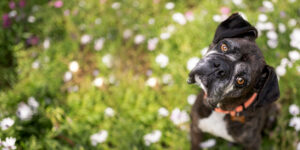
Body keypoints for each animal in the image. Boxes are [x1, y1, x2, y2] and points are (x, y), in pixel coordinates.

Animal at [188, 13, 282, 150]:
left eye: (240, 80)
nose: (220, 67)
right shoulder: (196, 129)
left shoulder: (253, 144)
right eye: (224, 46)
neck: (222, 110)